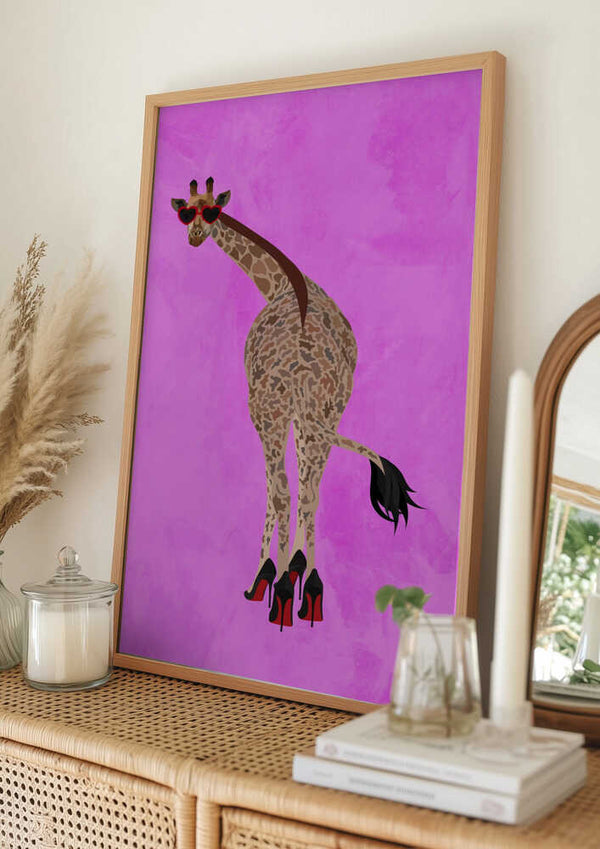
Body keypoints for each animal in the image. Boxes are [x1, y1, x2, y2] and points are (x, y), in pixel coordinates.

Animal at [171, 178, 420, 630]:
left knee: (283, 488)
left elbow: (275, 489)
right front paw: (294, 571)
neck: (284, 282)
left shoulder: (272, 412)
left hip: (271, 413)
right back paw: (308, 593)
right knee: (308, 492)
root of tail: (301, 370)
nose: (194, 236)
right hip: (322, 412)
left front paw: (272, 575)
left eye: (211, 211)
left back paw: (274, 591)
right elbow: (304, 488)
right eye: (186, 212)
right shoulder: (310, 417)